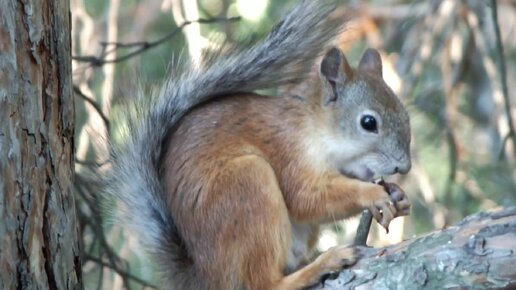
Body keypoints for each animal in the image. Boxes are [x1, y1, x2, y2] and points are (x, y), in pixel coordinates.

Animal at [105, 1, 412, 288]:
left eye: (405, 114)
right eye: (368, 123)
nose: (404, 167)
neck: (313, 127)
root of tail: (205, 277)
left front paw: (398, 195)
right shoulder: (288, 151)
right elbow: (307, 198)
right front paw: (373, 194)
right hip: (248, 185)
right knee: (264, 282)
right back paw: (319, 266)